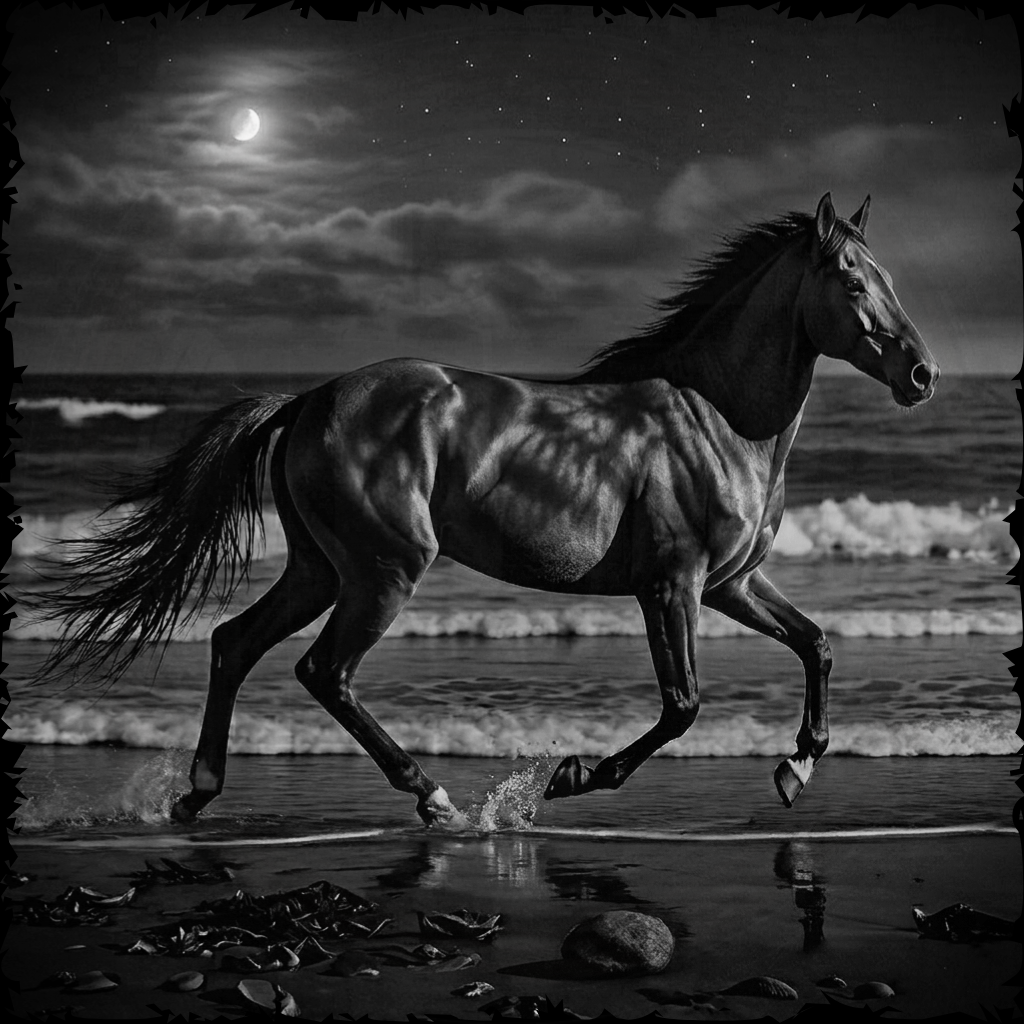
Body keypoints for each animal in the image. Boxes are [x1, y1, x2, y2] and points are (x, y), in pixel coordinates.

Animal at [36, 193, 938, 826]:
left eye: (893, 280)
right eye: (852, 281)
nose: (922, 374)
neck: (715, 418)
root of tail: (310, 398)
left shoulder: (730, 585)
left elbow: (816, 645)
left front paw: (798, 767)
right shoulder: (672, 587)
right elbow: (682, 706)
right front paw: (573, 778)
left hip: (320, 568)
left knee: (234, 644)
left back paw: (197, 793)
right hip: (384, 570)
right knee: (323, 670)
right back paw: (430, 796)